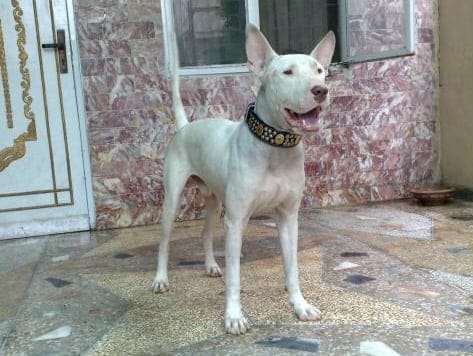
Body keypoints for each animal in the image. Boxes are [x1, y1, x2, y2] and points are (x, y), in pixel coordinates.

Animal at [152, 24, 336, 334]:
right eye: (287, 72)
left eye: (320, 70)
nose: (321, 90)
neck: (275, 147)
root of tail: (186, 127)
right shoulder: (236, 221)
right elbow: (235, 277)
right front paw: (234, 316)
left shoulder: (289, 218)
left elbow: (293, 269)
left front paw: (300, 306)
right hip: (172, 201)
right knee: (164, 241)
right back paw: (160, 279)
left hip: (214, 202)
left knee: (205, 233)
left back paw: (211, 266)